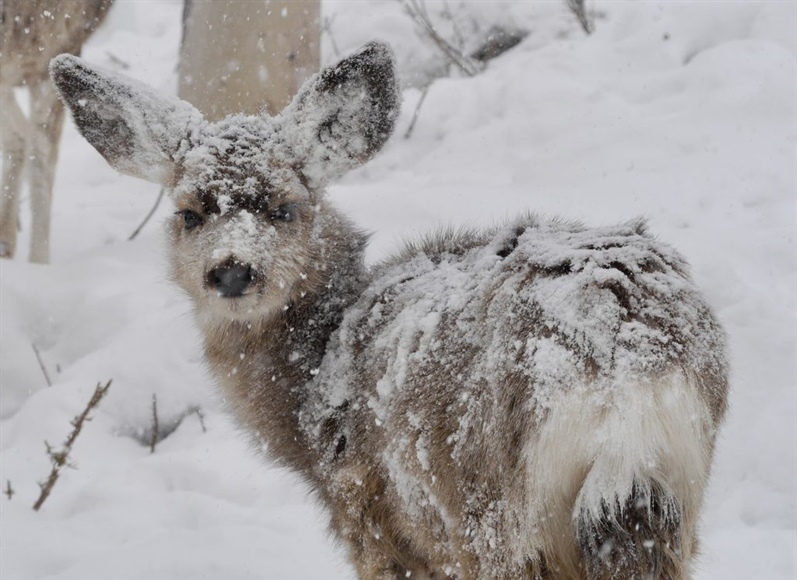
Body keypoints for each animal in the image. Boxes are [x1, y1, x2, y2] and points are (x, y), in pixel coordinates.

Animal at [46, 42, 724, 580]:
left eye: (284, 208)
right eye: (189, 213)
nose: (233, 271)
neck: (311, 371)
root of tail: (623, 353)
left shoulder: (370, 516)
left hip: (492, 511)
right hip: (666, 508)